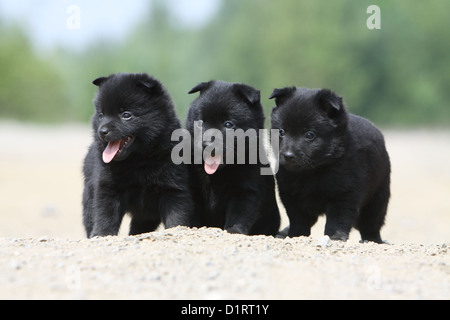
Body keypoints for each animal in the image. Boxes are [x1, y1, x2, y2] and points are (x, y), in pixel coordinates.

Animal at [82, 72, 193, 238]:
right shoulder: (108, 187)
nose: (102, 131)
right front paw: (102, 234)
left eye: (126, 115)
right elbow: (105, 214)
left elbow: (176, 217)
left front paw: (176, 231)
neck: (139, 160)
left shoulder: (173, 189)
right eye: (101, 114)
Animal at [185, 80, 278, 235]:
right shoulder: (194, 187)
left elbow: (238, 213)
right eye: (201, 122)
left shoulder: (245, 189)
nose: (206, 144)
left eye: (228, 124)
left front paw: (234, 230)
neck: (217, 174)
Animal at [270, 87, 390, 242]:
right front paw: (296, 235)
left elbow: (337, 218)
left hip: (377, 198)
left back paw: (372, 240)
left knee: (371, 224)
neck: (313, 171)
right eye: (281, 131)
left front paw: (335, 236)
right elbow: (298, 219)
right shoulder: (291, 195)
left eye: (310, 134)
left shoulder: (344, 194)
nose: (288, 155)